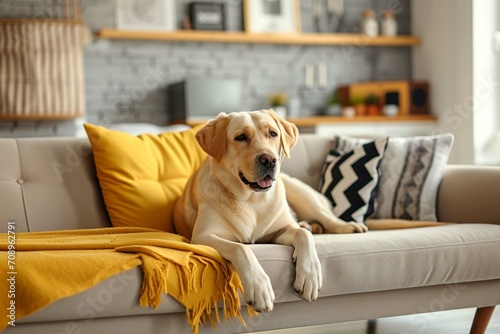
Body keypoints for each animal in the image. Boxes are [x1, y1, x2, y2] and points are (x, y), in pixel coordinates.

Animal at [173, 109, 368, 314]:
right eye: (240, 137)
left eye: (273, 134)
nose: (269, 160)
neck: (251, 200)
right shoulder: (203, 237)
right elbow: (240, 247)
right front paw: (259, 286)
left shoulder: (277, 232)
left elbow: (303, 235)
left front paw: (309, 275)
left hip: (299, 192)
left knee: (325, 217)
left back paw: (346, 226)